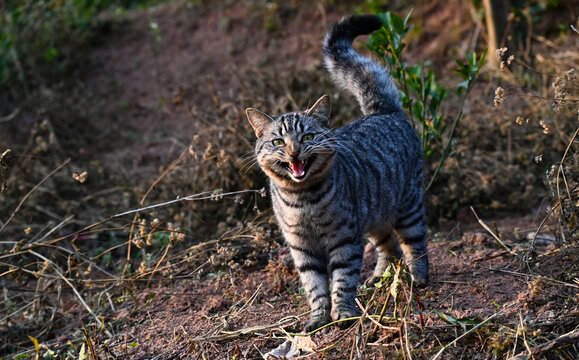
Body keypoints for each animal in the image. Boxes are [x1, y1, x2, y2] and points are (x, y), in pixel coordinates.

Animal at [246, 14, 430, 330]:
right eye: (278, 142)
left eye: (307, 137)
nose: (293, 152)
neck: (302, 199)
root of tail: (382, 111)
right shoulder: (302, 248)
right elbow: (315, 285)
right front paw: (319, 317)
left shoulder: (344, 238)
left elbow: (342, 279)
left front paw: (343, 313)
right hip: (373, 217)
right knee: (389, 248)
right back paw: (377, 279)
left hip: (408, 207)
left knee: (414, 244)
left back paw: (419, 278)